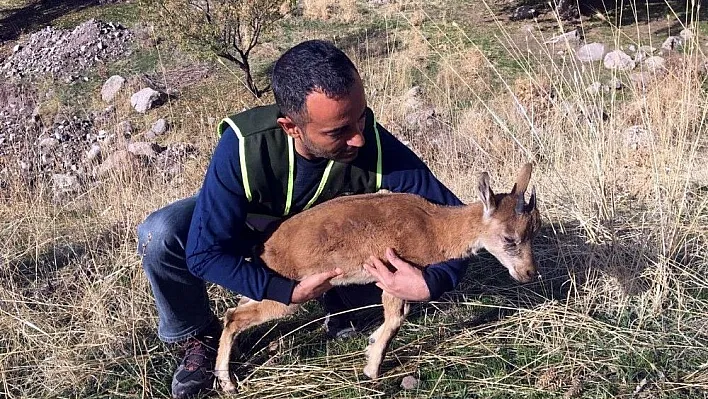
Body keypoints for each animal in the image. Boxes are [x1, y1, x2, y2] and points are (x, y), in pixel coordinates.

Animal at [216, 162, 544, 390]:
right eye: (509, 239)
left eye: (535, 229)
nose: (529, 273)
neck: (432, 227)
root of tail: (265, 247)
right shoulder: (391, 274)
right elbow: (396, 319)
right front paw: (371, 369)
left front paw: (371, 349)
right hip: (287, 296)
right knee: (234, 317)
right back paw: (227, 383)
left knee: (235, 309)